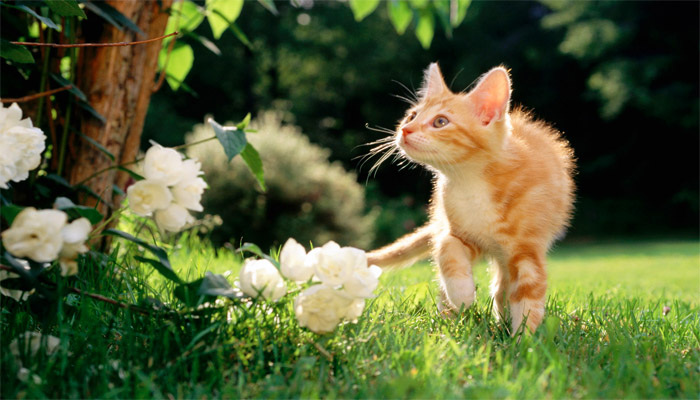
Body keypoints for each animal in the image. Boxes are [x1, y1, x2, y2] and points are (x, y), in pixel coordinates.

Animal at [366, 63, 576, 334]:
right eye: (412, 116)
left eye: (441, 122)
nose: (405, 129)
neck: (472, 181)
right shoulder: (461, 232)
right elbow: (447, 247)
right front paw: (462, 295)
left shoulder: (528, 249)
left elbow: (529, 293)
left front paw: (523, 338)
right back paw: (449, 318)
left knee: (503, 285)